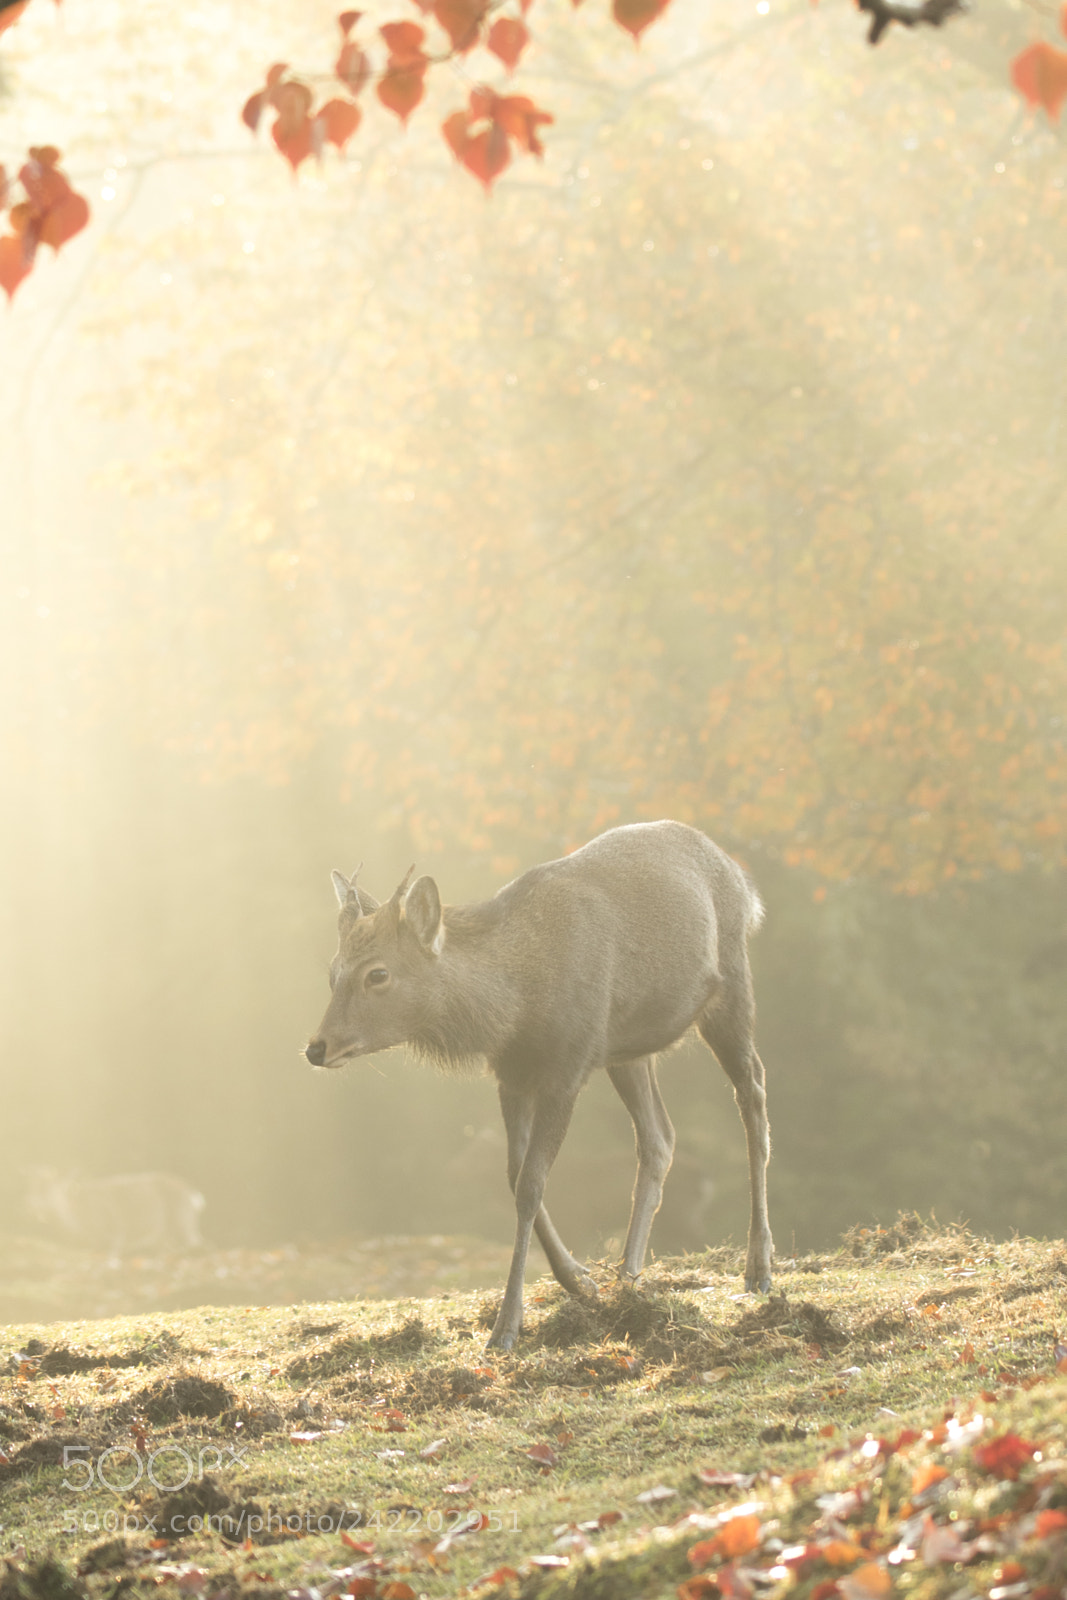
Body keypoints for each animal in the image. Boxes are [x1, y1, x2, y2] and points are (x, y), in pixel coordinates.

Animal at [305, 819, 772, 1350]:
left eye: (378, 973)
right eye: (332, 973)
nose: (317, 1047)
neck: (514, 1008)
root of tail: (743, 881)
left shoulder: (566, 1068)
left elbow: (531, 1183)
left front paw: (507, 1326)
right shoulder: (512, 1075)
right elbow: (514, 1175)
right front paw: (581, 1280)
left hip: (730, 984)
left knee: (752, 1091)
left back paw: (758, 1267)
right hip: (626, 1049)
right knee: (659, 1138)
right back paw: (627, 1277)